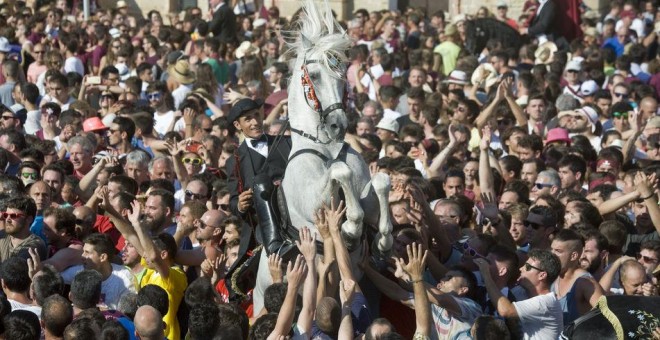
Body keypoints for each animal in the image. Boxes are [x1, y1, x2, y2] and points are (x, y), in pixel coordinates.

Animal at [251, 0, 392, 314]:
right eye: (314, 76)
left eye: (343, 75)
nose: (339, 125)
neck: (327, 149)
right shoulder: (313, 202)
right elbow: (340, 173)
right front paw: (350, 227)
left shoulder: (366, 187)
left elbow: (380, 181)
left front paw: (382, 237)